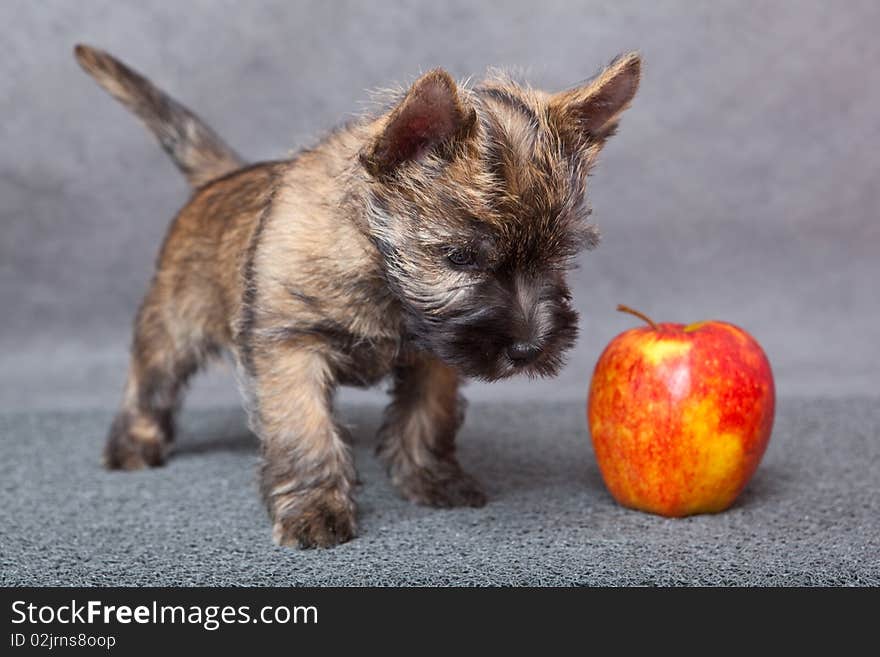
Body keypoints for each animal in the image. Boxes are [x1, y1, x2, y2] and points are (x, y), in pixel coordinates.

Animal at [75, 46, 640, 544]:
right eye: (460, 257)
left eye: (558, 255)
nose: (529, 349)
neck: (381, 276)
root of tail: (221, 179)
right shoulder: (289, 350)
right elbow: (304, 431)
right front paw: (315, 509)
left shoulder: (435, 357)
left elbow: (427, 417)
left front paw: (431, 479)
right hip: (173, 323)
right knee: (149, 380)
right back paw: (134, 444)